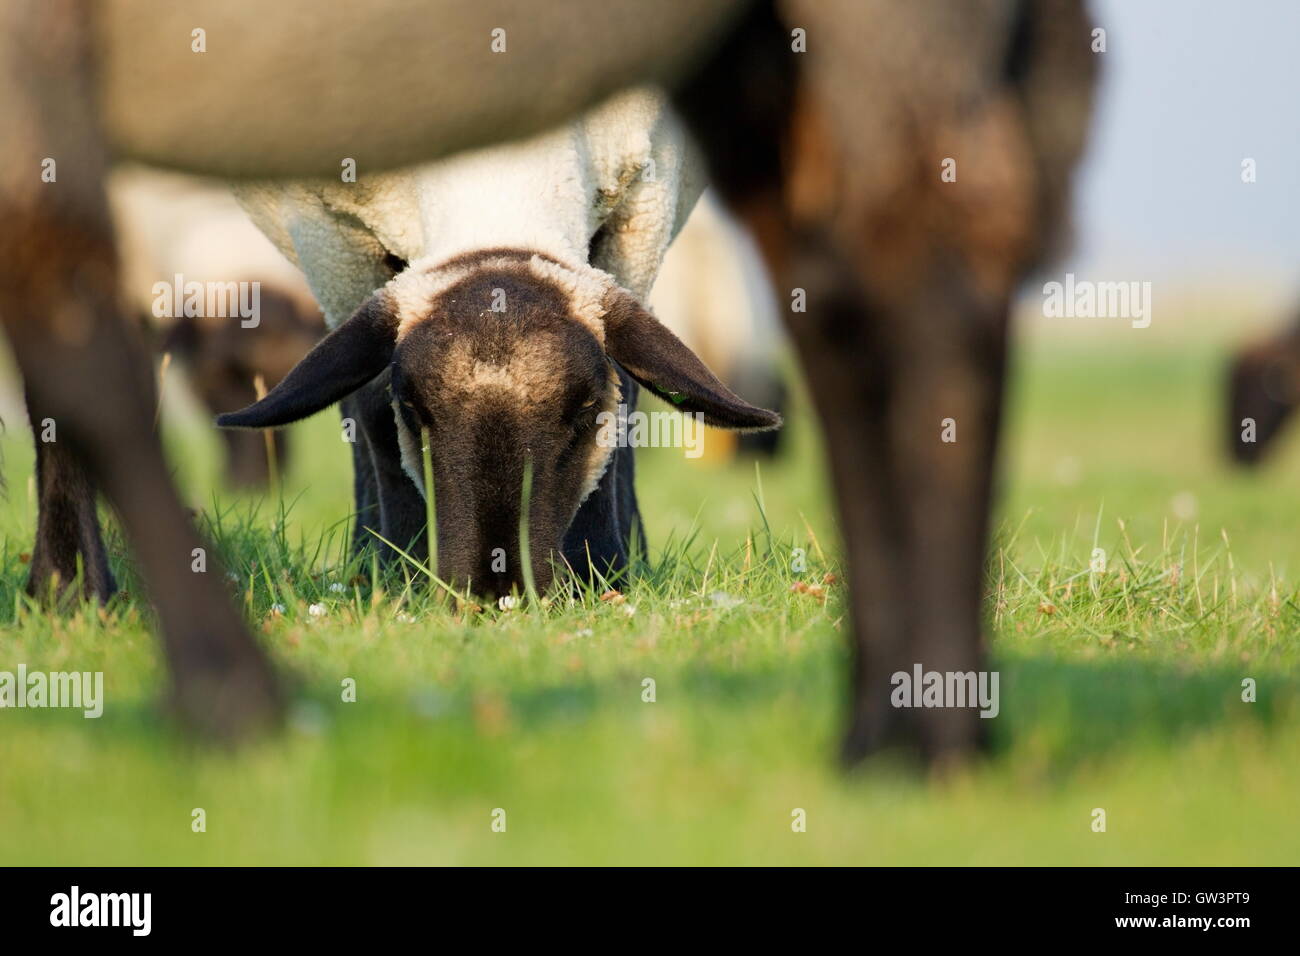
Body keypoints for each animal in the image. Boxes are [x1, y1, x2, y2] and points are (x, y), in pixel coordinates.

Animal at [217, 89, 774, 598]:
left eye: (586, 407)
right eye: (411, 407)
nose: (496, 587)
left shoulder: (646, 201)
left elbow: (626, 400)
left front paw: (602, 570)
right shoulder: (328, 233)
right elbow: (370, 409)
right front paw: (396, 570)